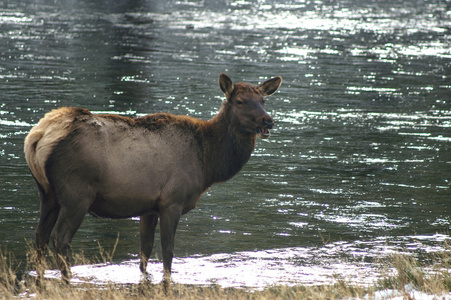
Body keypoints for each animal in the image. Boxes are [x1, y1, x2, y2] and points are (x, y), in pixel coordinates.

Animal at [23, 73, 282, 284]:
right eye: (240, 101)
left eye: (263, 101)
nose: (267, 121)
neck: (207, 161)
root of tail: (38, 136)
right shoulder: (172, 201)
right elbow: (168, 250)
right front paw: (167, 279)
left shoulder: (148, 207)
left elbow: (144, 250)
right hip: (76, 192)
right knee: (60, 237)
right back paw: (67, 278)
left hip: (46, 192)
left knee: (40, 235)